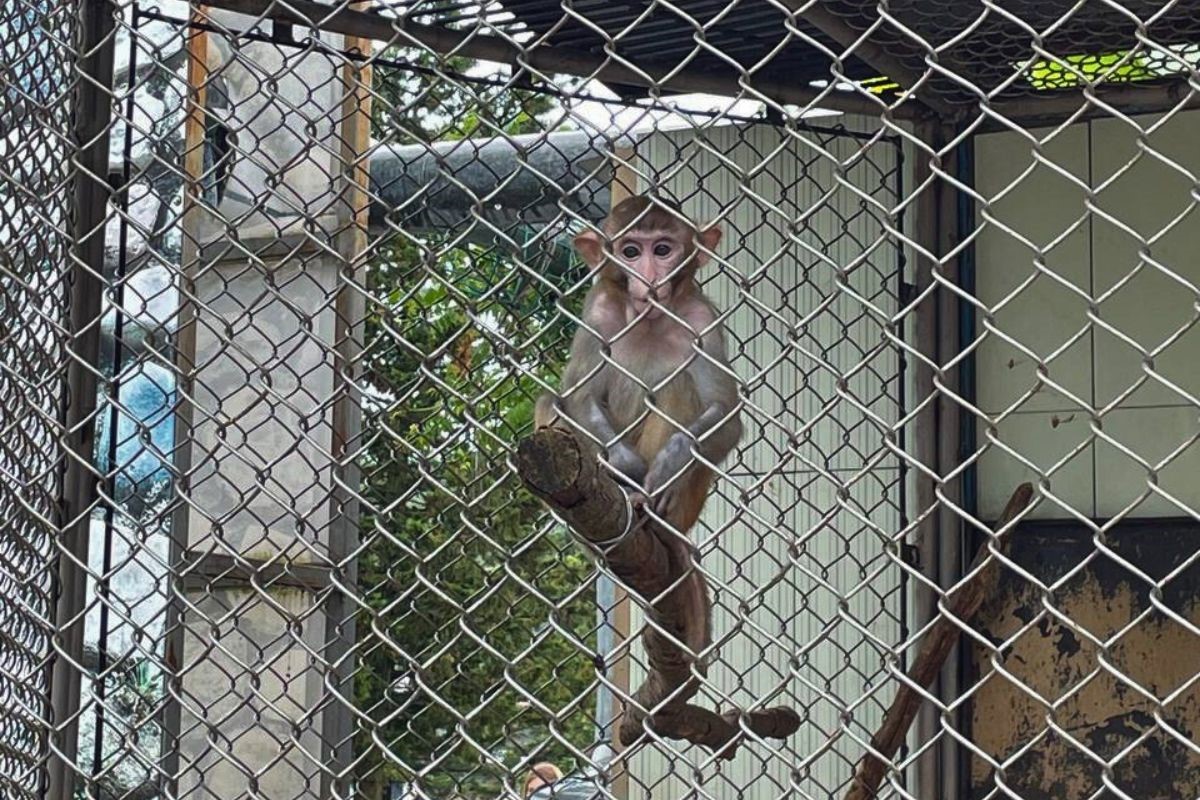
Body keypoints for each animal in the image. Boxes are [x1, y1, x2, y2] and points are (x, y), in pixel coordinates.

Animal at [534, 194, 742, 745]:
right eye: (630, 251)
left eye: (663, 249)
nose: (648, 278)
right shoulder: (598, 311)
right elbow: (575, 399)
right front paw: (624, 467)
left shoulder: (702, 318)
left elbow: (726, 414)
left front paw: (669, 463)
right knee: (550, 403)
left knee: (678, 390)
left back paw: (658, 517)